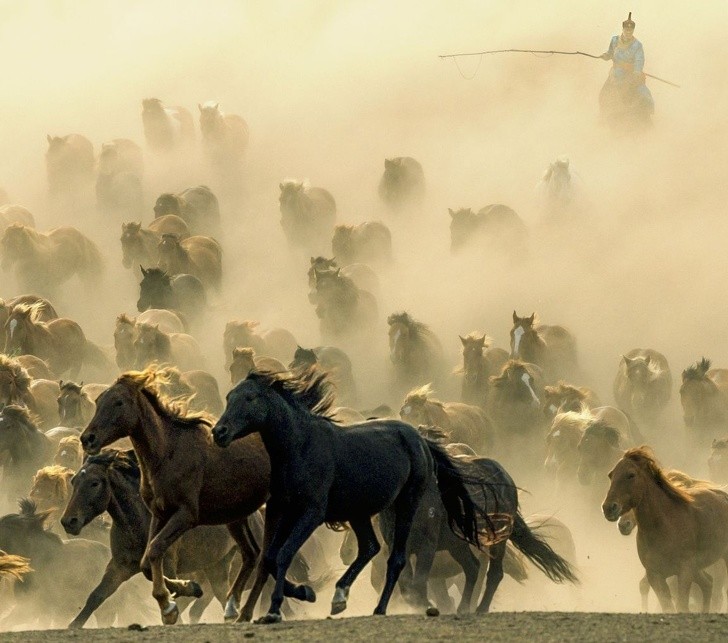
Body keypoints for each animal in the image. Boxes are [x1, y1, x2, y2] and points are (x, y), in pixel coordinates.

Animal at [604, 448, 728, 612]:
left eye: (631, 474)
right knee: (707, 584)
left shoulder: (684, 572)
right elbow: (667, 606)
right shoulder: (655, 575)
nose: (608, 508)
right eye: (611, 474)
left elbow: (681, 606)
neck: (664, 526)